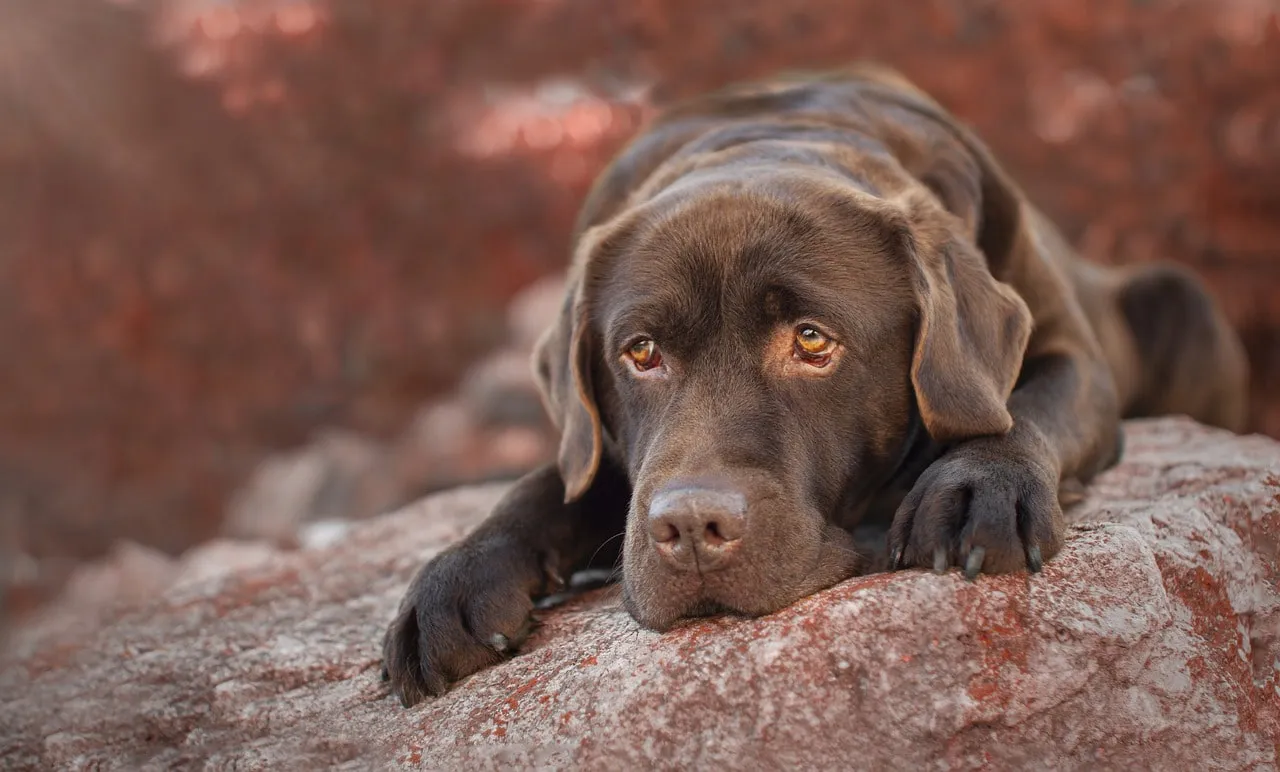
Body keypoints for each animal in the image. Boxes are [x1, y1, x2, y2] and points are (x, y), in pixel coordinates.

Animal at [381, 66, 1249, 706]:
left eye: (811, 340)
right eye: (641, 352)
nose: (690, 528)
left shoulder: (1075, 359)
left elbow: (1021, 412)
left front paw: (977, 488)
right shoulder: (607, 458)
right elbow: (547, 485)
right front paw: (451, 583)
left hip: (1187, 300)